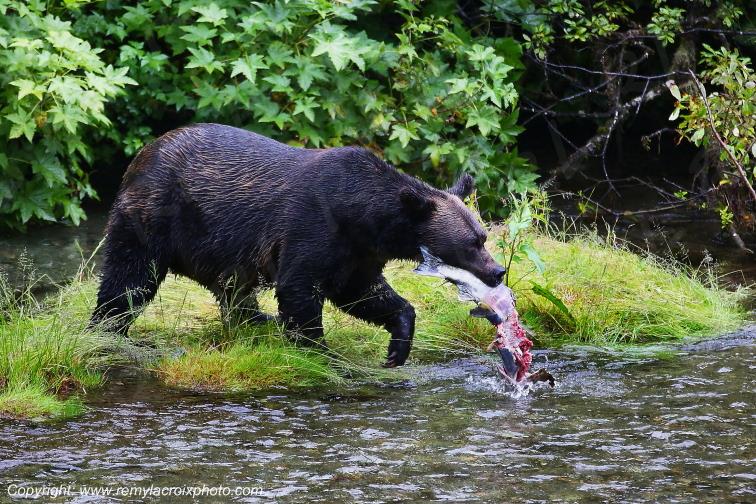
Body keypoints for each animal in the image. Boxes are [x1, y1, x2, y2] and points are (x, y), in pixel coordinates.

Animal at [90, 123, 505, 367]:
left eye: (482, 236)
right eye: (472, 243)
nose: (498, 271)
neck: (363, 214)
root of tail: (142, 154)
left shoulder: (358, 253)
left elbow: (365, 294)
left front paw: (397, 347)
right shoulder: (313, 226)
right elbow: (300, 289)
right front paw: (321, 350)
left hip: (218, 249)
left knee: (233, 290)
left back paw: (257, 320)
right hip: (156, 218)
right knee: (129, 279)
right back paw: (107, 328)